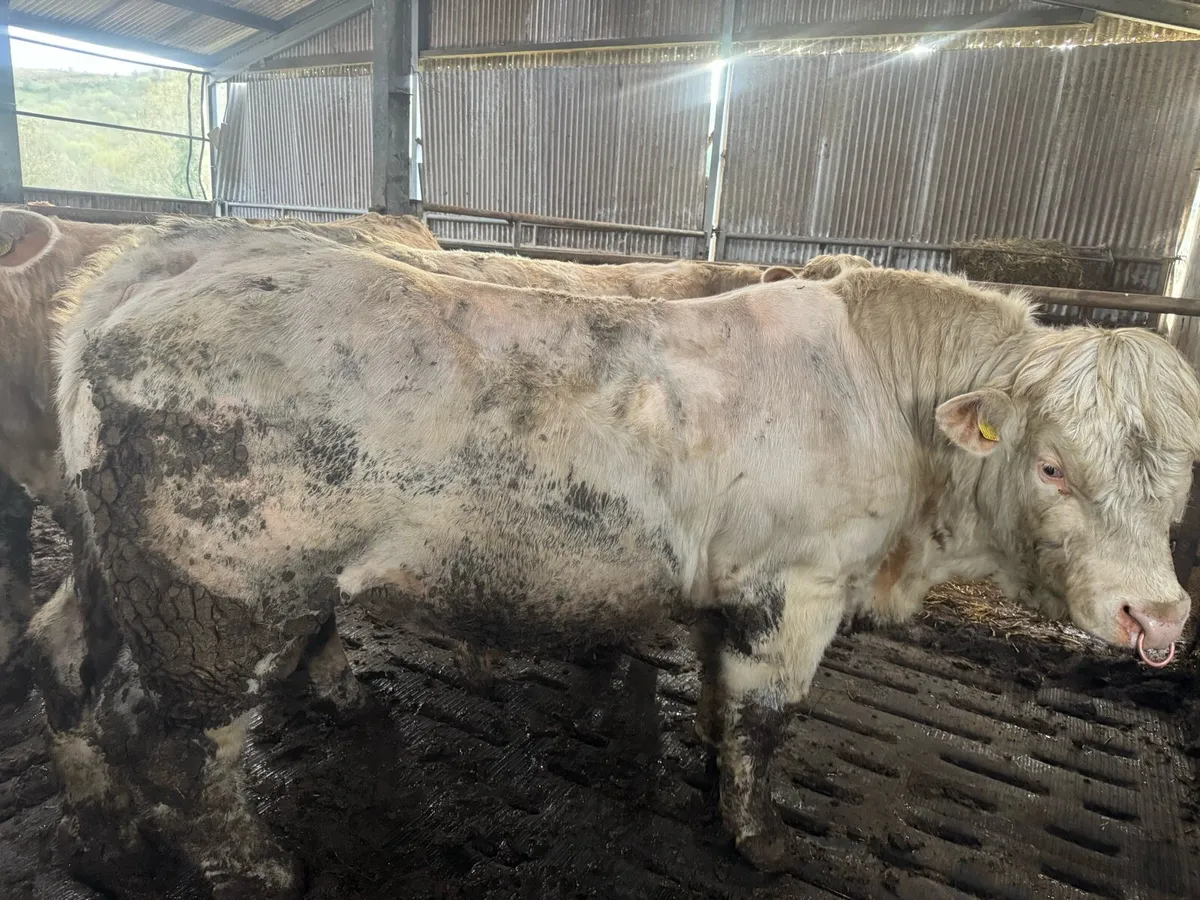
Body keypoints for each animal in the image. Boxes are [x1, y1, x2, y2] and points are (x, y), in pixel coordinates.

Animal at [44, 216, 1199, 897]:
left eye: (1183, 471)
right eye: (1052, 466)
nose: (1157, 617)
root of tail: (168, 258)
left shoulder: (736, 587)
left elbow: (723, 702)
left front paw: (715, 779)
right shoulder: (800, 584)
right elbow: (770, 721)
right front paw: (763, 842)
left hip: (124, 576)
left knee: (72, 677)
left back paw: (100, 839)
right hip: (219, 596)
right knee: (182, 735)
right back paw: (244, 861)